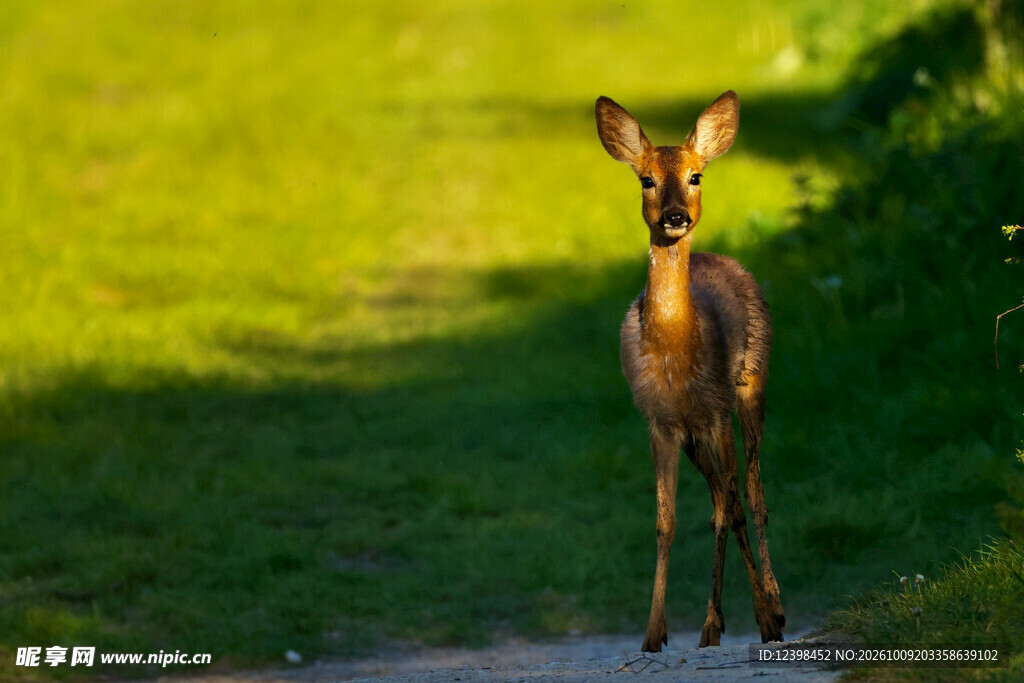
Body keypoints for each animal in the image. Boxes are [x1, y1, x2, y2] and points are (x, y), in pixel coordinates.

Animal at [595, 91, 785, 652]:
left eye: (696, 175)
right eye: (646, 179)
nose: (676, 216)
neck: (676, 354)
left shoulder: (716, 410)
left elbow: (735, 508)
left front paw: (756, 618)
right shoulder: (659, 422)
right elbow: (666, 522)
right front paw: (653, 633)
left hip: (751, 385)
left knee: (752, 494)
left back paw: (773, 607)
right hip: (696, 439)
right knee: (721, 498)